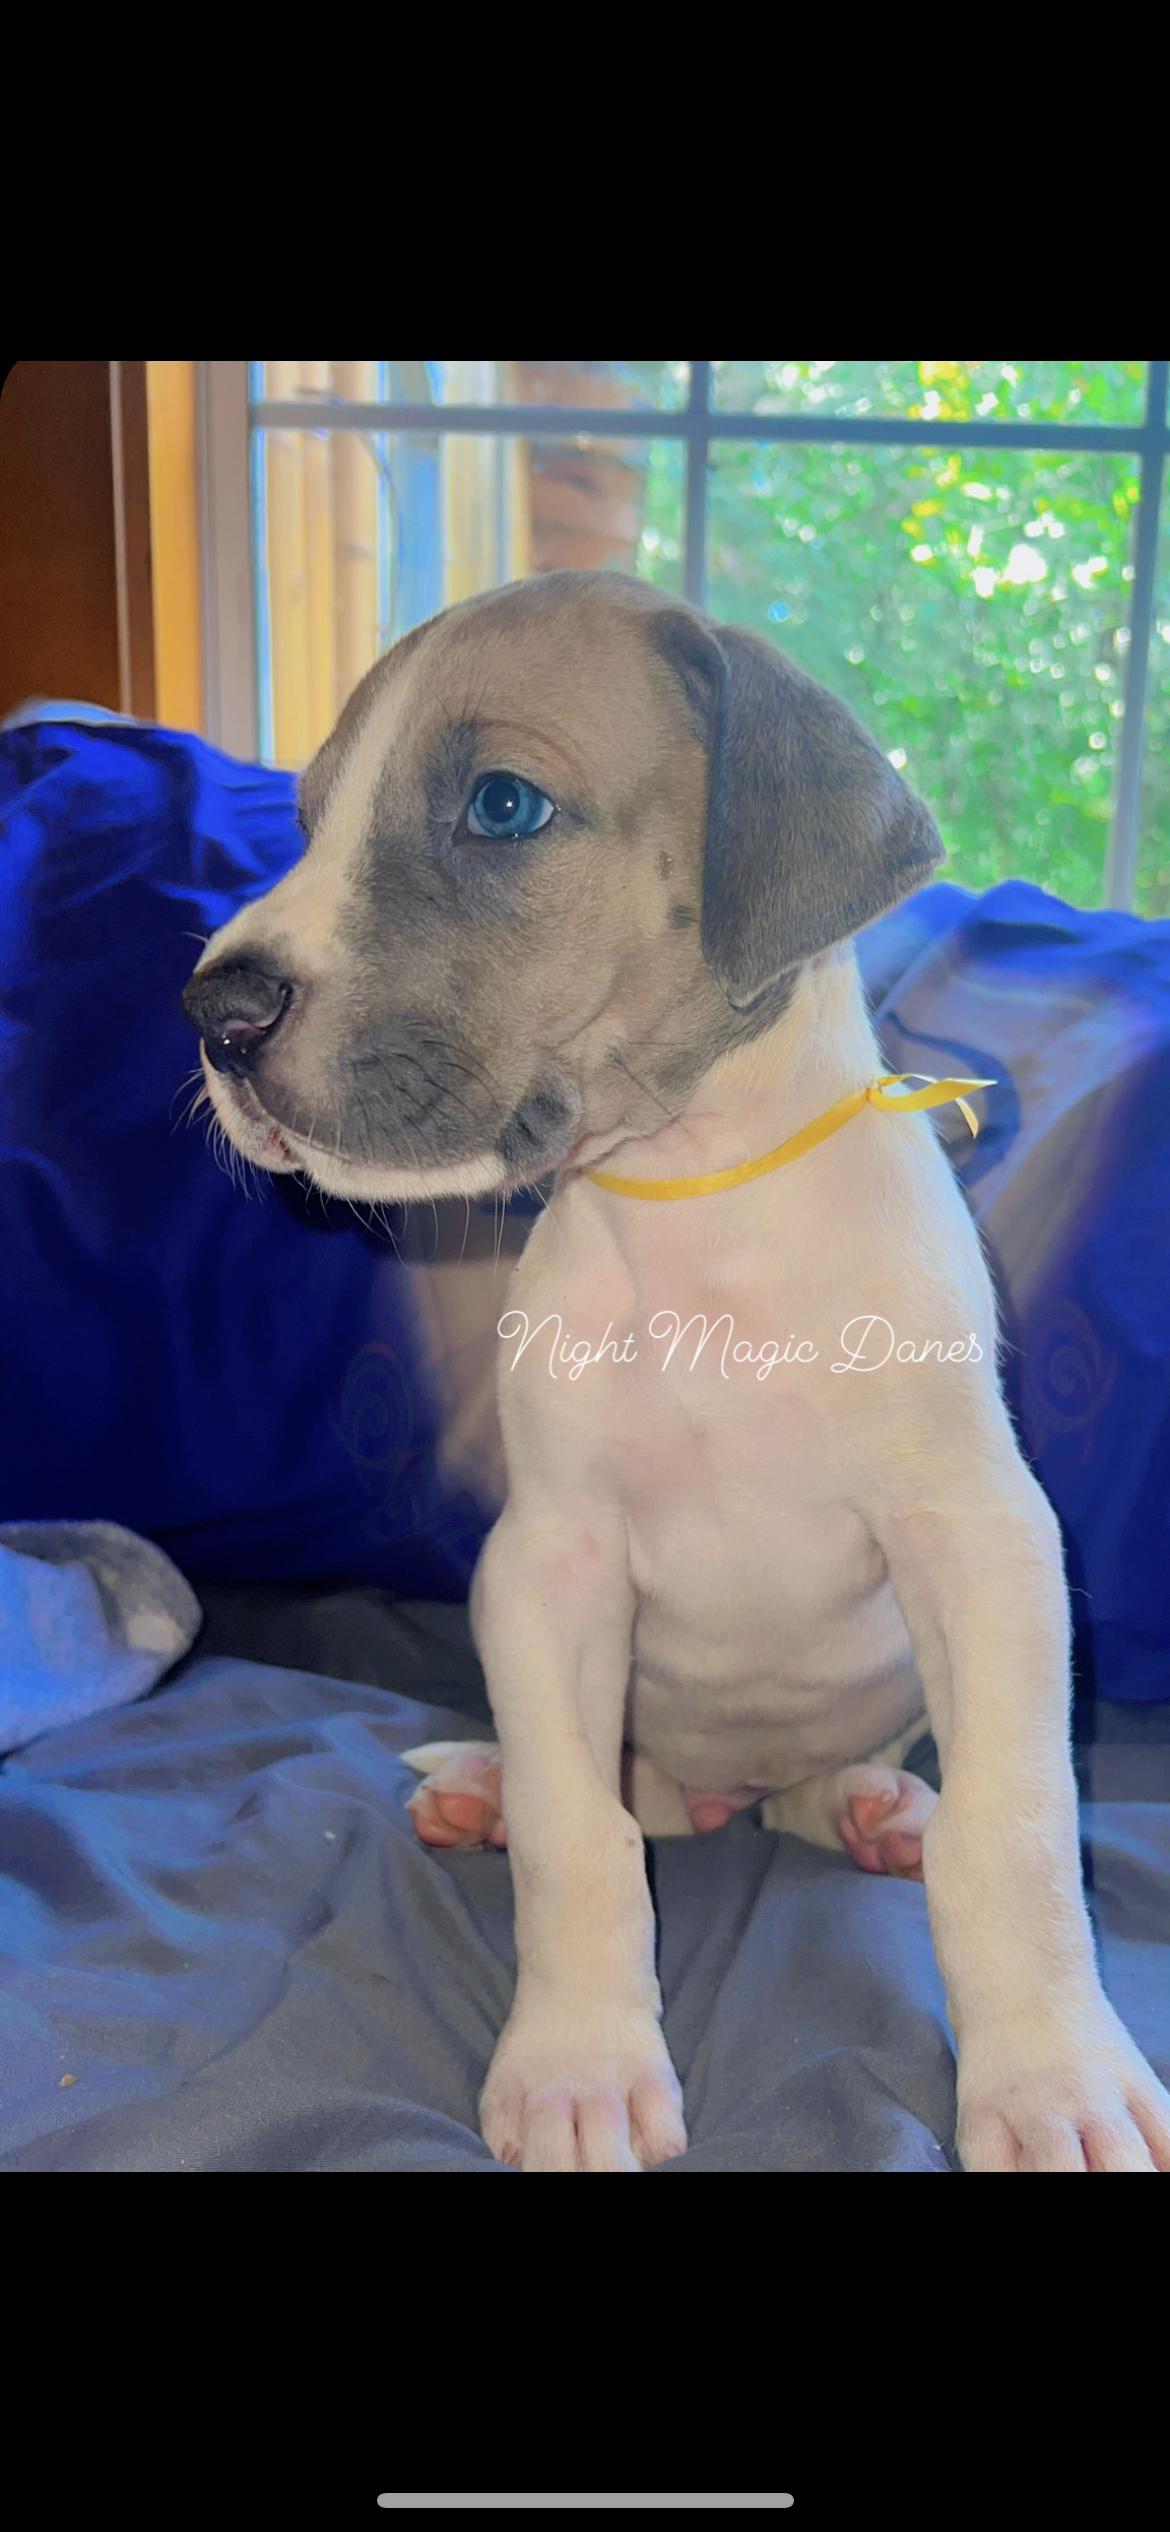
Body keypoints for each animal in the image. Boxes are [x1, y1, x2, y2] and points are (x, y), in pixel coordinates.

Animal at [185, 569, 1170, 2174]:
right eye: (312, 816)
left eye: (502, 805)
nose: (213, 1015)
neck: (695, 1202)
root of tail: (722, 1802)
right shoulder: (550, 1565)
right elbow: (579, 1844)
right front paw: (576, 2065)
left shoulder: (983, 1543)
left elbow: (1017, 1832)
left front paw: (1054, 2082)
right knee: (605, 1804)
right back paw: (487, 1795)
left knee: (842, 1797)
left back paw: (872, 1811)